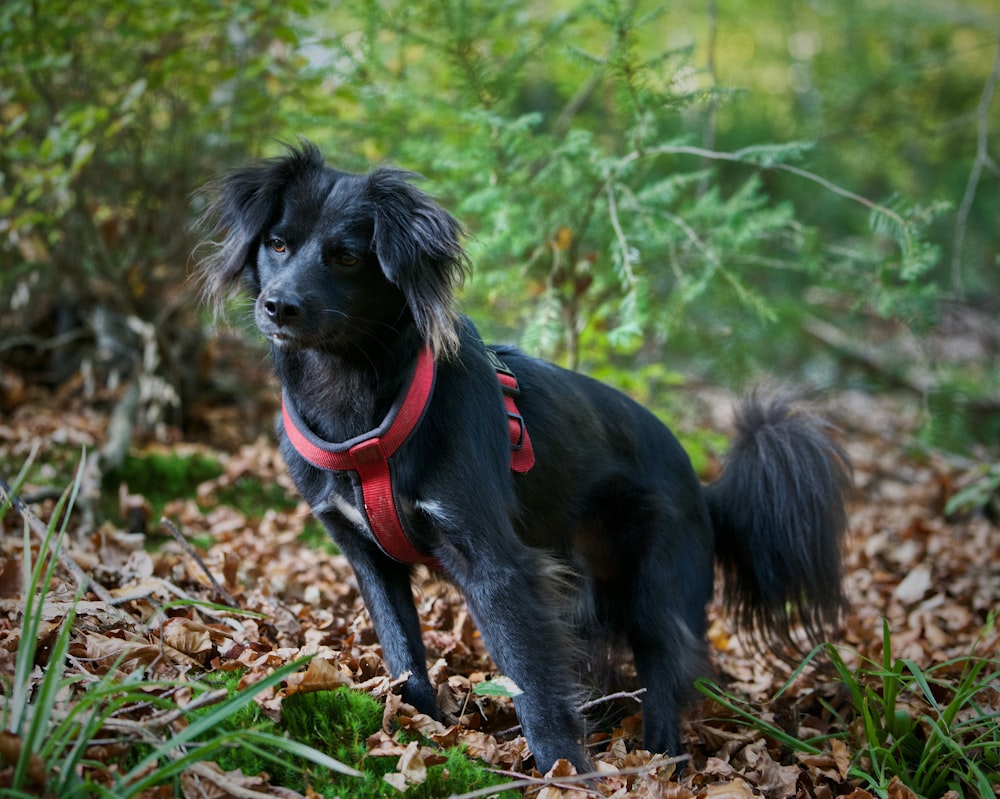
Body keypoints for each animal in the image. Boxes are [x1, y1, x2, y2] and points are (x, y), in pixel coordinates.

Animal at [197, 144, 852, 776]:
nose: (279, 307)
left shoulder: (497, 565)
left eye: (347, 258)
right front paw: (417, 727)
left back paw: (663, 762)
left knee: (664, 680)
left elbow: (530, 677)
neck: (355, 404)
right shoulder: (367, 557)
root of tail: (703, 487)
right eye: (277, 243)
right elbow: (404, 650)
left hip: (657, 590)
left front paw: (564, 769)